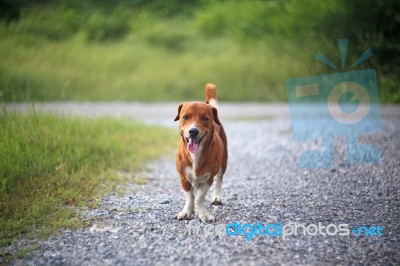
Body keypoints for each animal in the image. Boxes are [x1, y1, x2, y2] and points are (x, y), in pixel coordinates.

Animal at [173, 83, 227, 222]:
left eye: (204, 118)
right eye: (185, 117)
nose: (193, 131)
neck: (195, 155)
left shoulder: (208, 178)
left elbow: (199, 197)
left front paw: (201, 212)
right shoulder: (183, 177)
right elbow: (190, 197)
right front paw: (187, 211)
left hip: (223, 163)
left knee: (219, 179)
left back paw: (217, 197)